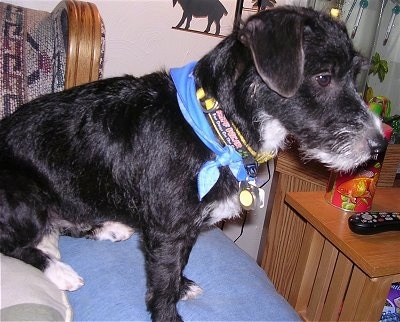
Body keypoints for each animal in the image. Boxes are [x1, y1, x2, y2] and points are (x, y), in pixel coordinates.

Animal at [0, 5, 388, 322]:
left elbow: (178, 266)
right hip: (26, 197)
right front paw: (168, 311)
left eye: (354, 75)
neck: (215, 125)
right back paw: (58, 269)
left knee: (63, 223)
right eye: (323, 77)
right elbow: (162, 282)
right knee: (14, 242)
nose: (380, 146)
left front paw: (182, 285)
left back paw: (107, 228)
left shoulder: (186, 227)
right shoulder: (167, 230)